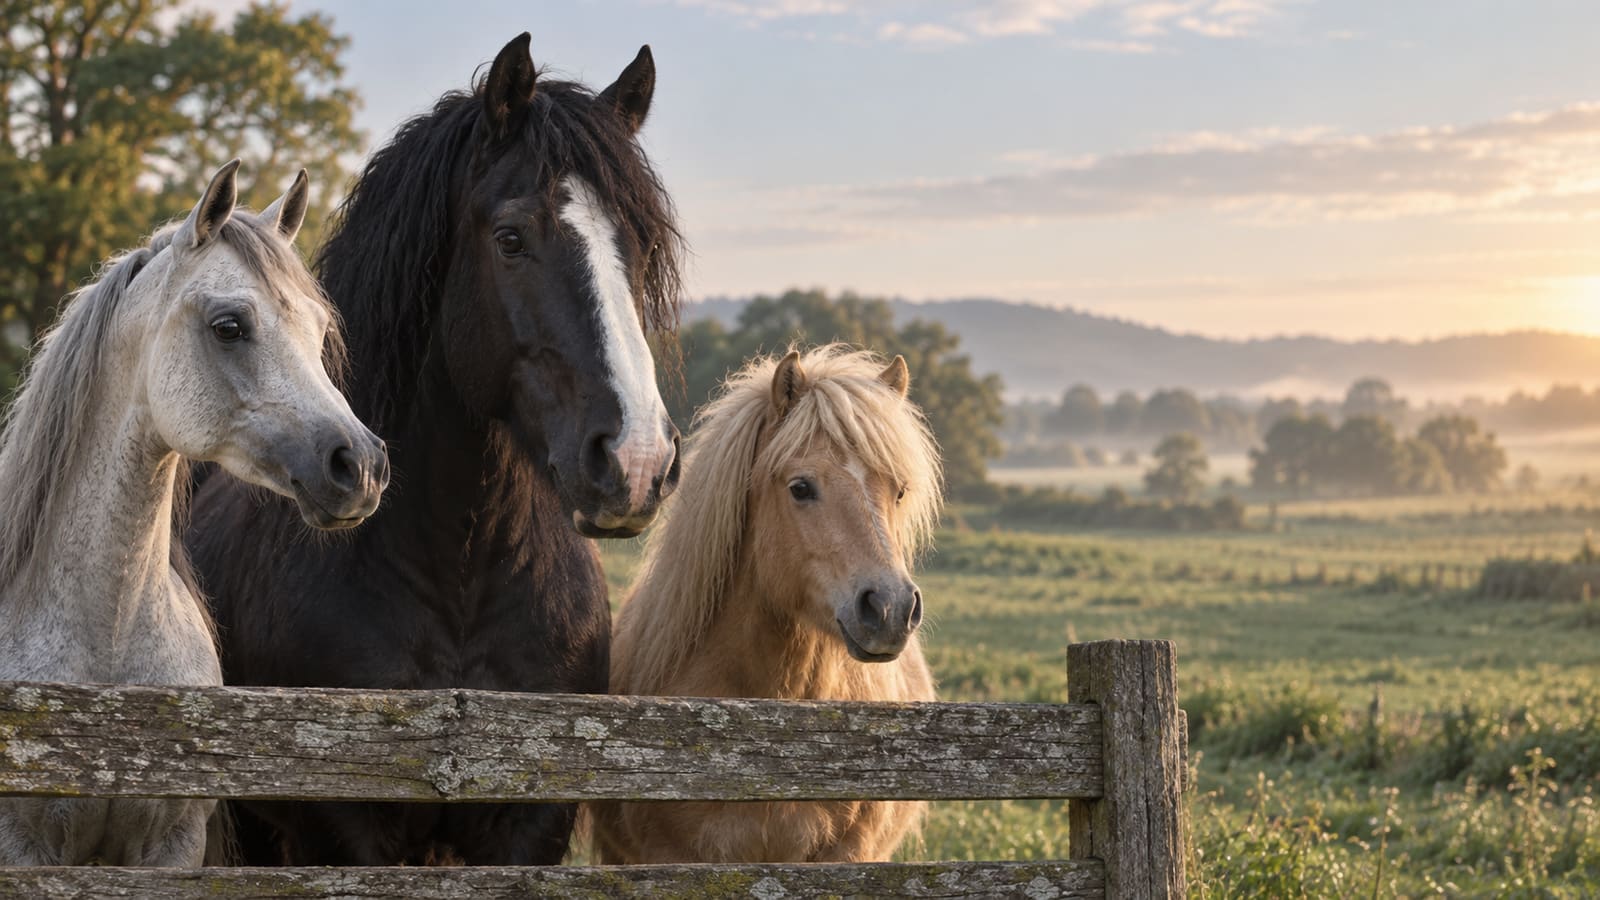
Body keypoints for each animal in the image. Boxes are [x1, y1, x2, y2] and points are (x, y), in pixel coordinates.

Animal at [0, 161, 386, 866]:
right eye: (229, 325)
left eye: (319, 331)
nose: (363, 466)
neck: (110, 643)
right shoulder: (25, 851)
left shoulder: (173, 849)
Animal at [185, 33, 685, 866]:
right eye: (511, 238)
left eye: (643, 248)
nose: (637, 461)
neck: (461, 572)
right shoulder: (341, 831)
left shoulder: (531, 825)